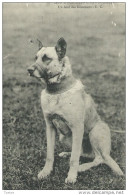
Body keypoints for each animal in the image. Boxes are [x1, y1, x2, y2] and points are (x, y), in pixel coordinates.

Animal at [27, 37, 124, 183]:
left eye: (46, 58)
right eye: (36, 57)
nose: (29, 70)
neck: (57, 91)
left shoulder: (77, 128)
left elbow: (74, 159)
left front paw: (72, 176)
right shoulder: (50, 127)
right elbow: (50, 154)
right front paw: (46, 171)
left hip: (95, 132)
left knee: (97, 158)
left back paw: (81, 167)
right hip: (64, 137)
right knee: (82, 153)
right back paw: (68, 154)